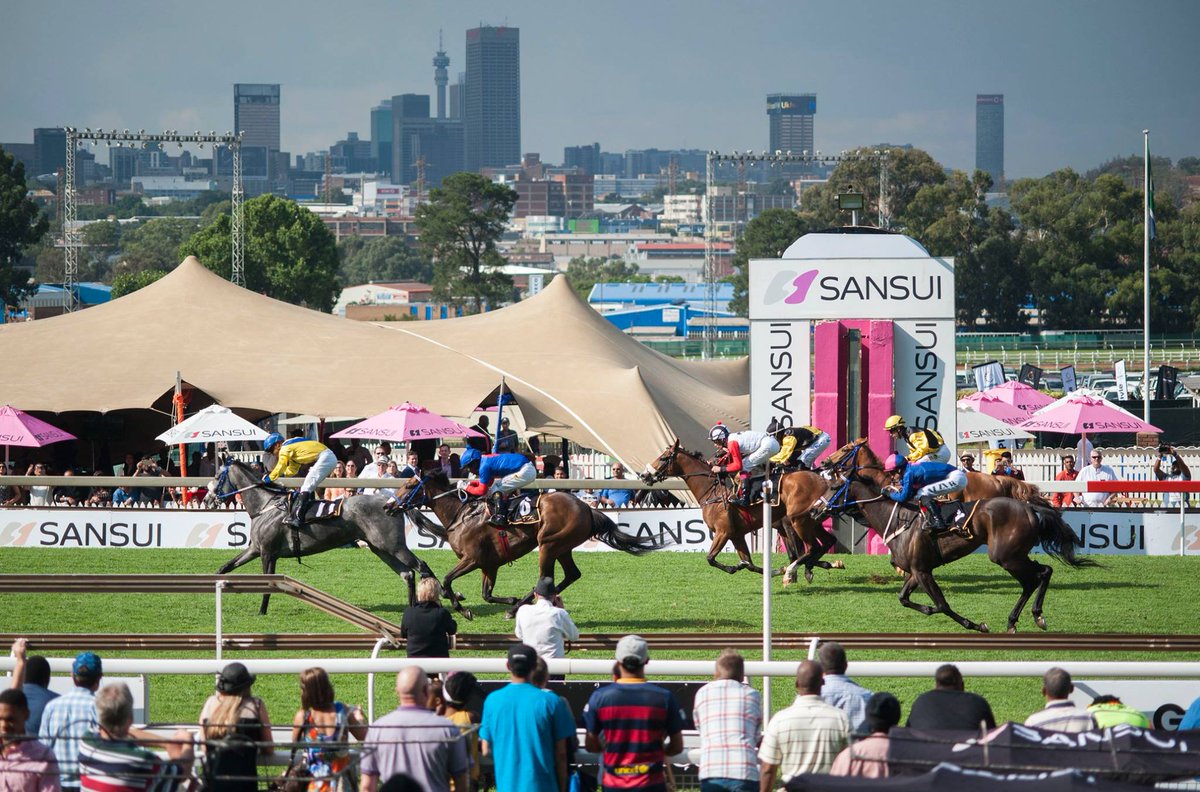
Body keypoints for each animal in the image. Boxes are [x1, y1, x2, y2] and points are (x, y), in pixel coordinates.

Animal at [212, 453, 436, 614]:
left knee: (422, 567)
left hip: (393, 546)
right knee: (408, 574)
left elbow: (268, 583)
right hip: (380, 548)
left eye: (216, 477)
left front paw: (262, 610)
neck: (266, 505)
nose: (208, 498)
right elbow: (224, 568)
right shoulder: (255, 549)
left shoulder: (268, 553)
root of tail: (392, 502)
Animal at [391, 470, 662, 619]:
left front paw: (464, 610)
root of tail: (586, 507)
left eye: (408, 486)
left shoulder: (473, 559)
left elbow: (447, 581)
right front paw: (507, 600)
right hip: (562, 547)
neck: (462, 515)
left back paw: (518, 608)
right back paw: (519, 605)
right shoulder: (490, 565)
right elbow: (486, 595)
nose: (389, 505)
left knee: (547, 577)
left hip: (549, 544)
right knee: (571, 574)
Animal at [638, 441, 844, 585]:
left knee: (811, 548)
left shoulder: (723, 532)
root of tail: (824, 481)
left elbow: (710, 558)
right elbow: (749, 563)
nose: (644, 475)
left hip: (797, 521)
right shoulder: (736, 534)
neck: (713, 492)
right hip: (811, 521)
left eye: (663, 458)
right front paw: (770, 570)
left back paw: (797, 570)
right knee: (825, 542)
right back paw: (815, 566)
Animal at [820, 436, 1094, 633]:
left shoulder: (922, 570)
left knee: (1036, 576)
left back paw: (1033, 617)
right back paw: (1019, 620)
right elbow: (904, 598)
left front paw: (975, 624)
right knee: (1040, 574)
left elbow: (941, 605)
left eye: (834, 487)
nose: (817, 508)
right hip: (1013, 554)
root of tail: (1028, 507)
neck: (896, 516)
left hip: (1006, 556)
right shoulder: (918, 570)